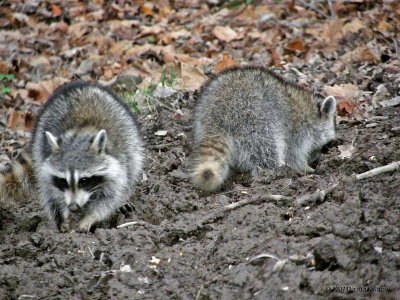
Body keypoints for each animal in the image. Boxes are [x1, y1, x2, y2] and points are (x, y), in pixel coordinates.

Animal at [29, 82, 145, 232]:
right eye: (63, 181)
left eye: (83, 180)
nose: (73, 207)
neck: (78, 132)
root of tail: (80, 85)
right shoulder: (45, 161)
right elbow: (53, 191)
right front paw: (65, 215)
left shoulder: (119, 164)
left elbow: (110, 197)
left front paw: (90, 217)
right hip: (39, 140)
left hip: (130, 138)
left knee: (132, 169)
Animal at [191, 66, 338, 192]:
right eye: (324, 145)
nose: (315, 160)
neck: (310, 109)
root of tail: (216, 118)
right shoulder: (297, 130)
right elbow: (293, 154)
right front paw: (304, 167)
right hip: (253, 117)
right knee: (266, 147)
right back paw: (275, 171)